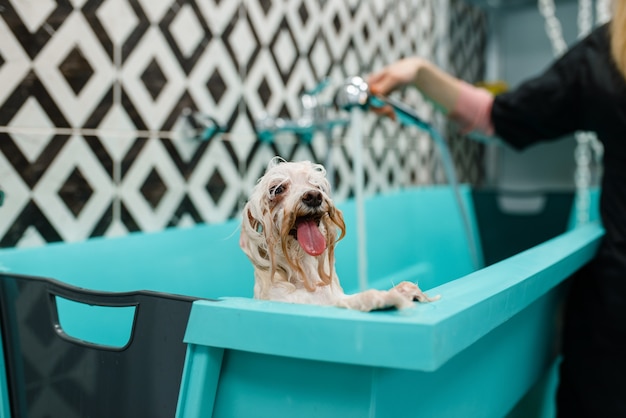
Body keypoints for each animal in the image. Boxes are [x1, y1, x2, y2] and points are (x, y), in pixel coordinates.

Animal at [239, 158, 438, 312]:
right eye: (277, 189)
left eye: (316, 185)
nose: (313, 196)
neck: (304, 272)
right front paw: (385, 297)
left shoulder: (335, 296)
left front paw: (403, 290)